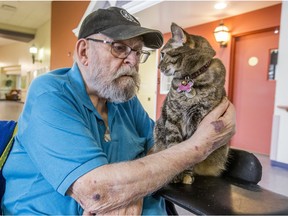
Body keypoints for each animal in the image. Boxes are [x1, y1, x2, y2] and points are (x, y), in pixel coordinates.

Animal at [153, 22, 230, 184]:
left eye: (163, 54)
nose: (158, 66)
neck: (190, 78)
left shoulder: (198, 118)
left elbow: (190, 151)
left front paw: (187, 174)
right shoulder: (173, 118)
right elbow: (174, 146)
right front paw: (176, 174)